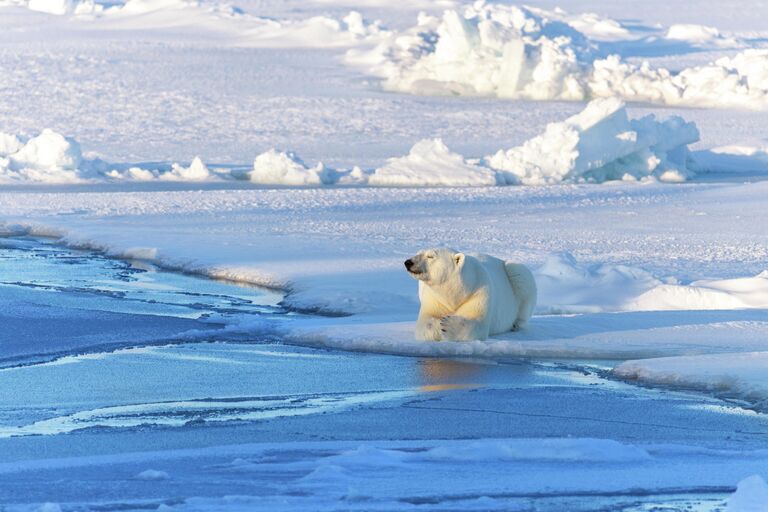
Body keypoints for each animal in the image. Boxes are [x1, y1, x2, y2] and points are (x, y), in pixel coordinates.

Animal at [404, 247, 536, 340]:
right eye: (418, 252)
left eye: (430, 256)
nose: (408, 262)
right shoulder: (435, 299)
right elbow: (424, 322)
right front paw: (437, 324)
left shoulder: (479, 292)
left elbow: (477, 324)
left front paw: (447, 324)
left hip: (516, 273)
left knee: (520, 276)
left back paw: (516, 324)